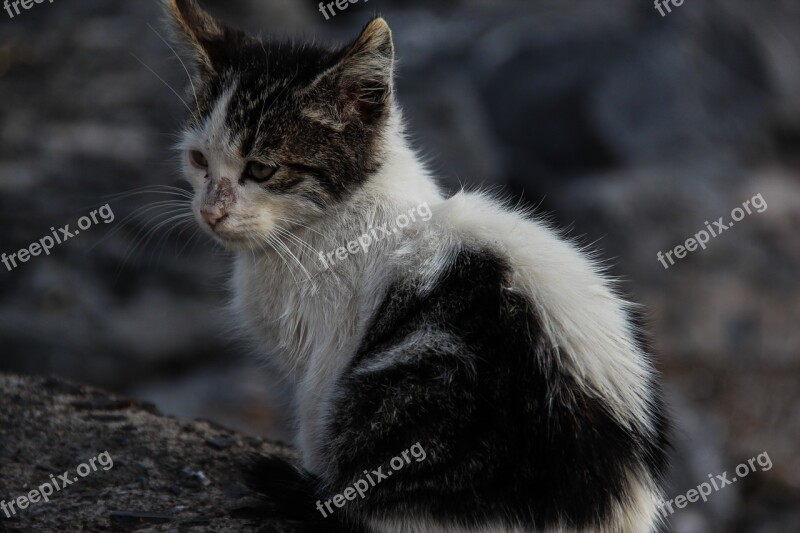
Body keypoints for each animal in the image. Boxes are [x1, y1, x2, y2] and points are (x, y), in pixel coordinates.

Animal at [162, 2, 668, 528]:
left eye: (261, 169)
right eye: (198, 160)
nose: (210, 212)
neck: (340, 216)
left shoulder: (325, 359)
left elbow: (315, 415)